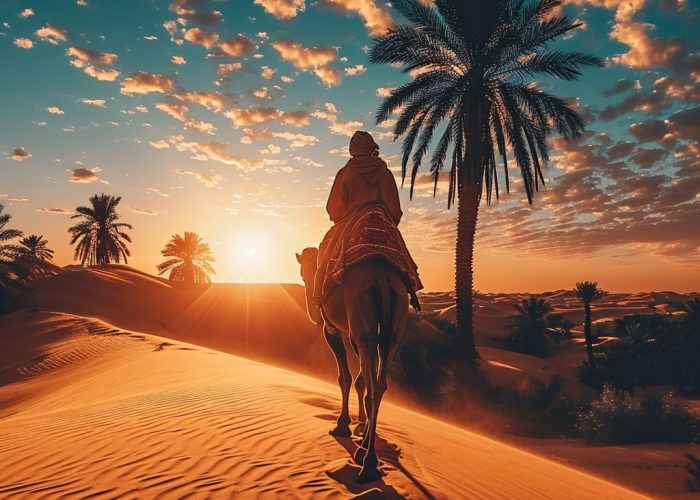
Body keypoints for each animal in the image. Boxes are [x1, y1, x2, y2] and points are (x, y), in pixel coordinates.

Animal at [296, 248, 410, 482]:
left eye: (302, 273)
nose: (304, 280)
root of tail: (382, 278)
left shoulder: (332, 329)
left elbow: (345, 377)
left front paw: (342, 425)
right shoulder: (352, 333)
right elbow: (361, 380)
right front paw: (361, 422)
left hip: (361, 316)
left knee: (373, 383)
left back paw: (368, 462)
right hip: (393, 326)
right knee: (379, 384)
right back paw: (366, 449)